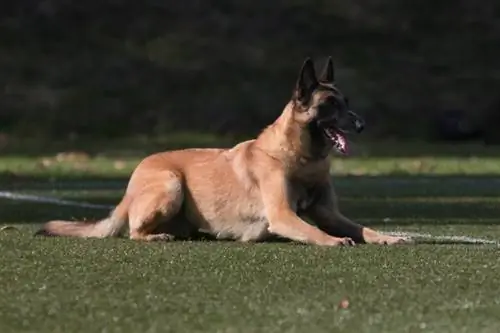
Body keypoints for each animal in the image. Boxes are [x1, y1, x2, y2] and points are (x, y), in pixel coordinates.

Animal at [37, 56, 408, 244]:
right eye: (330, 105)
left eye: (347, 102)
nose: (361, 125)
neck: (301, 158)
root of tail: (128, 191)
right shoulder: (282, 215)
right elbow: (313, 231)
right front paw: (333, 241)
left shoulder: (330, 214)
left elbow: (361, 228)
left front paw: (388, 236)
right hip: (171, 184)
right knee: (132, 232)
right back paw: (155, 237)